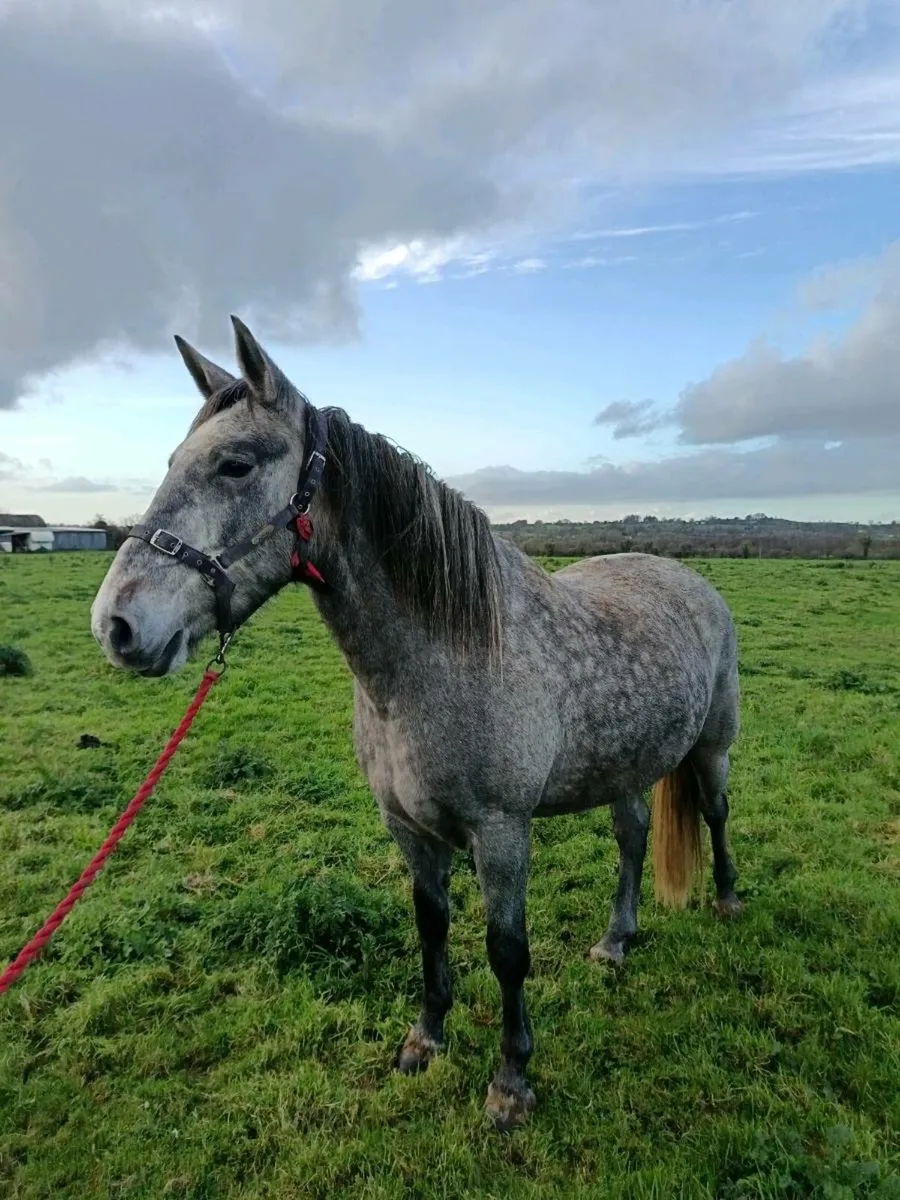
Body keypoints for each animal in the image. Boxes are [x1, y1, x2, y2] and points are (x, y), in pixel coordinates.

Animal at [91, 316, 742, 1132]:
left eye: (235, 465)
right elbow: (432, 925)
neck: (438, 658)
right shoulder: (406, 826)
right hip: (626, 765)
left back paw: (727, 899)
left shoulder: (501, 832)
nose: (116, 626)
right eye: (173, 461)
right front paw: (425, 1039)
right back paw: (615, 941)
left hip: (713, 745)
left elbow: (507, 950)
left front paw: (511, 1082)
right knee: (632, 839)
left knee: (715, 813)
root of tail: (688, 578)